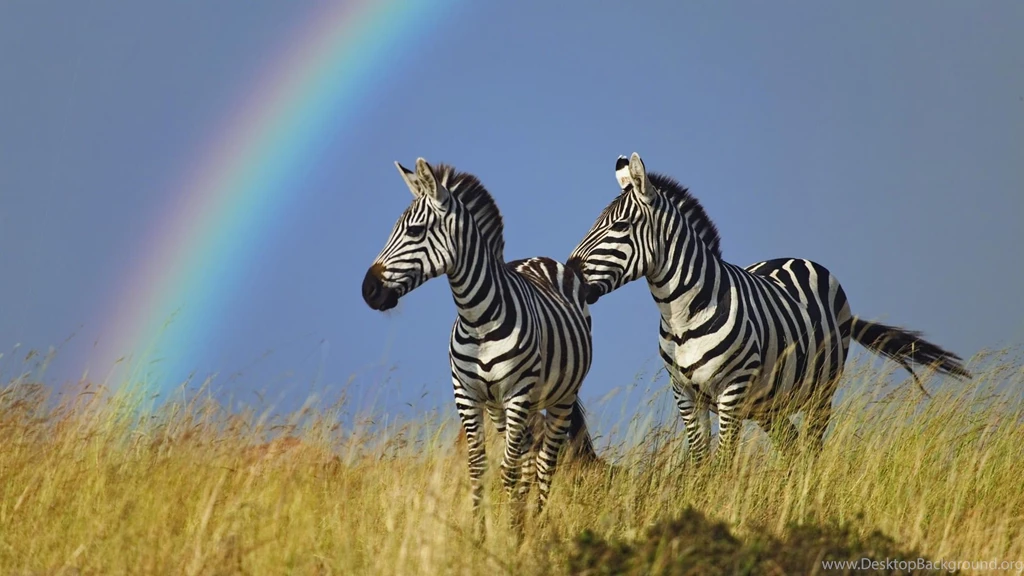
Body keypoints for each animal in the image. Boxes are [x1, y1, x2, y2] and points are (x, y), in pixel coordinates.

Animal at [361, 158, 597, 533]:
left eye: (414, 232)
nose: (368, 290)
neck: (478, 319)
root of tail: (540, 259)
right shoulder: (468, 396)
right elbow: (479, 467)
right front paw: (480, 533)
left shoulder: (517, 393)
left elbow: (509, 469)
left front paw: (511, 534)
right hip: (506, 408)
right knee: (528, 459)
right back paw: (523, 519)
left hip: (560, 397)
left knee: (544, 462)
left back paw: (535, 525)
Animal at [566, 152, 971, 462]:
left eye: (619, 226)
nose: (569, 271)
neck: (680, 313)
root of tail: (794, 258)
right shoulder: (685, 394)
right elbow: (699, 463)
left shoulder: (731, 390)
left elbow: (724, 463)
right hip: (769, 403)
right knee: (791, 448)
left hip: (821, 391)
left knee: (811, 449)